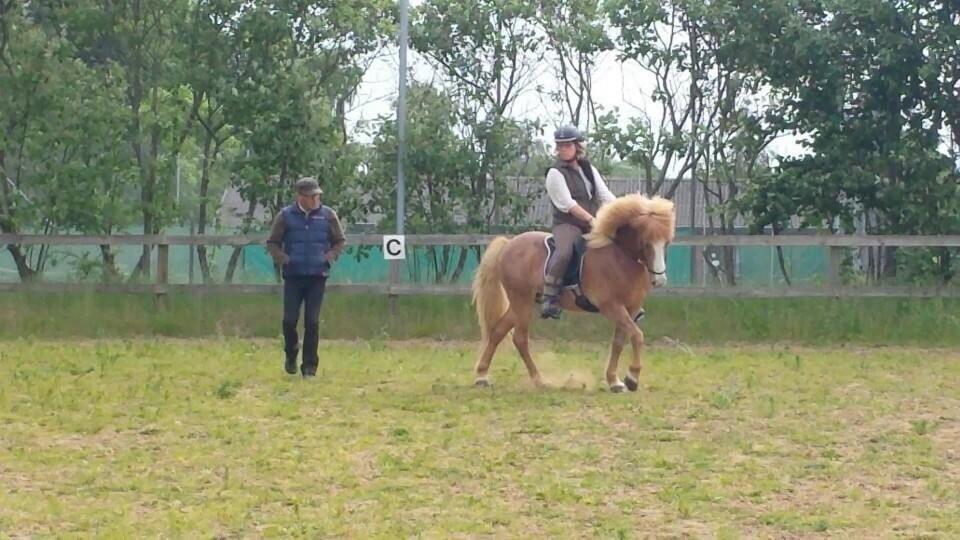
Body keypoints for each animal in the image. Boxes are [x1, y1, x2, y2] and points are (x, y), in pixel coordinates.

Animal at [470, 194, 676, 392]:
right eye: (646, 243)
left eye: (666, 243)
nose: (660, 280)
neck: (620, 257)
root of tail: (508, 244)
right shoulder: (612, 307)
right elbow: (637, 336)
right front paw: (632, 378)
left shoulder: (630, 308)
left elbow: (619, 341)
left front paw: (614, 381)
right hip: (522, 302)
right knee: (520, 339)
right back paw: (539, 380)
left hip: (520, 303)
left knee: (498, 331)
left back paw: (482, 376)